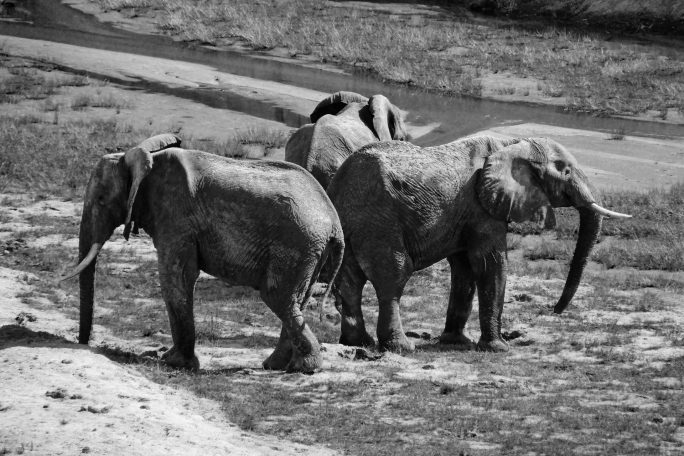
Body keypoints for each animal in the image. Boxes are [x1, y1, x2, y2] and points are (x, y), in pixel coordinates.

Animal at [61, 134, 344, 373]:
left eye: (100, 199)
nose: (83, 343)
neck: (143, 160)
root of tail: (333, 220)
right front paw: (175, 360)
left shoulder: (176, 217)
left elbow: (176, 277)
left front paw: (174, 363)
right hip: (310, 250)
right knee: (296, 300)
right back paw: (277, 365)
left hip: (296, 244)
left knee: (277, 295)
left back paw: (303, 368)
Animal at [326, 135, 631, 353]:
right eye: (565, 171)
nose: (553, 311)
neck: (513, 144)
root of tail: (340, 182)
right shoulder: (481, 208)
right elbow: (489, 264)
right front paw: (499, 348)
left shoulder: (465, 215)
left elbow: (464, 269)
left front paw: (456, 342)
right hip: (379, 220)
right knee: (394, 277)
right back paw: (401, 347)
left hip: (352, 222)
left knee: (350, 281)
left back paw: (358, 343)